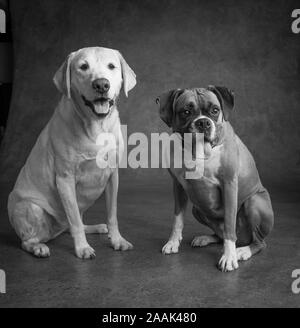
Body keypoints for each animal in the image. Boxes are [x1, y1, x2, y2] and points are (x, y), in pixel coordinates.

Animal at [7, 47, 136, 260]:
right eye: (83, 67)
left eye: (111, 66)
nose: (101, 84)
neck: (96, 126)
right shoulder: (65, 179)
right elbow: (74, 219)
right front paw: (82, 248)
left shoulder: (113, 176)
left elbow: (112, 214)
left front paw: (117, 240)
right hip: (31, 208)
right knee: (29, 240)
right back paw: (38, 247)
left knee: (75, 223)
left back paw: (95, 227)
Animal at [157, 86, 274, 272]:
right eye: (186, 112)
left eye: (214, 110)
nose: (203, 122)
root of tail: (244, 239)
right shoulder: (178, 186)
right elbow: (178, 219)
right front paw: (173, 242)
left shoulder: (229, 185)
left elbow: (229, 225)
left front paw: (229, 257)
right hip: (197, 209)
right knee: (220, 234)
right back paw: (206, 238)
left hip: (254, 201)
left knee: (258, 242)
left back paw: (243, 251)